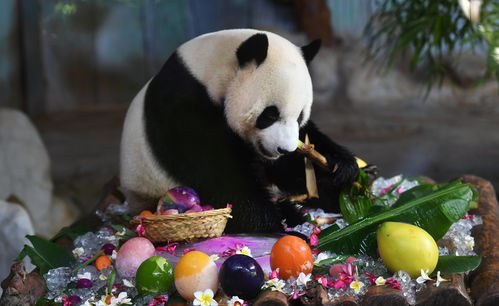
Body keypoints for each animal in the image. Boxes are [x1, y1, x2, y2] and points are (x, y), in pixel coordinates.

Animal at [120, 29, 360, 233]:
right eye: (270, 115)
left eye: (300, 115)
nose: (284, 149)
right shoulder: (183, 109)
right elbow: (221, 177)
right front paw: (279, 223)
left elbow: (297, 154)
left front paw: (342, 167)